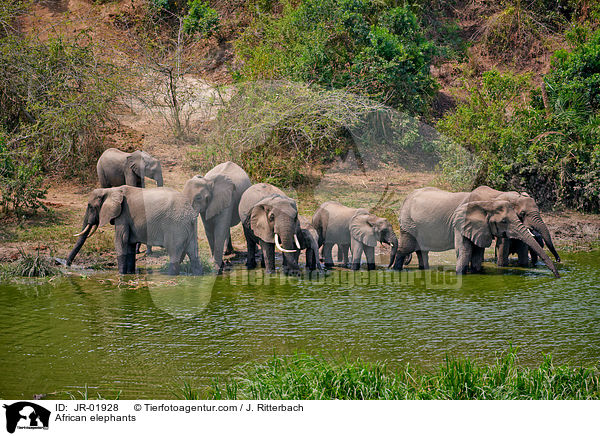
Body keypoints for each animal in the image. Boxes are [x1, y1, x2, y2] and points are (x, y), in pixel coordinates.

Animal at [67, 185, 200, 274]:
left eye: (90, 207)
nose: (67, 265)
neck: (111, 190)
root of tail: (191, 212)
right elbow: (129, 245)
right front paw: (129, 274)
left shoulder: (123, 215)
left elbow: (120, 240)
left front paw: (121, 275)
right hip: (190, 228)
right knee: (194, 254)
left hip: (176, 226)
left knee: (174, 254)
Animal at [392, 186, 560, 276]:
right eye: (523, 214)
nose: (558, 263)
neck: (496, 195)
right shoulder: (461, 223)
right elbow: (466, 251)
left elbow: (478, 253)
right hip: (408, 223)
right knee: (406, 248)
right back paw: (395, 270)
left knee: (422, 252)